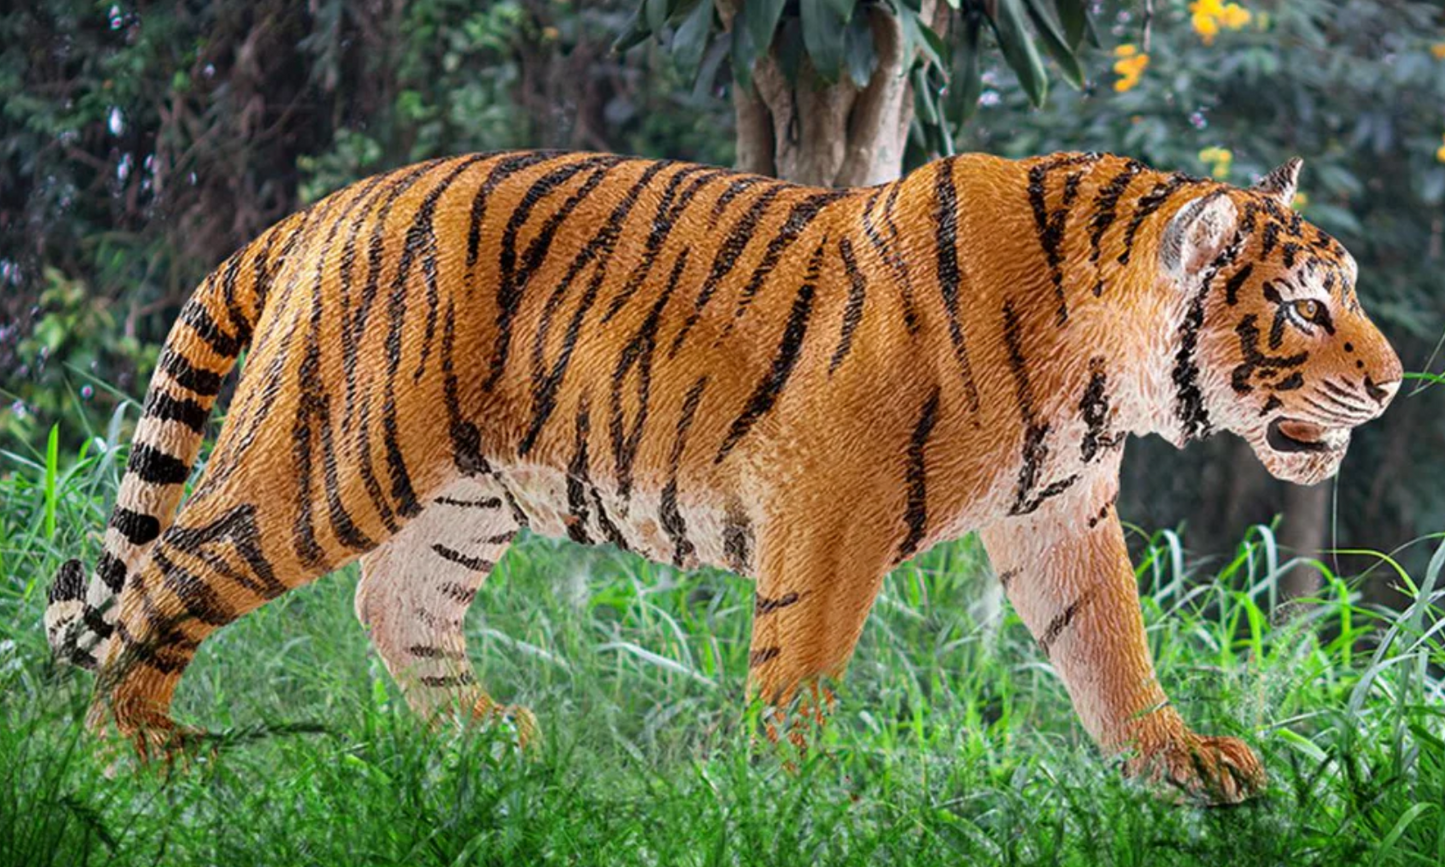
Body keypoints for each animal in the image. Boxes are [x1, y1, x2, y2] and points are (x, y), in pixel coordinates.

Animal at [44, 149, 1400, 804]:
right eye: (1302, 306)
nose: (1392, 386)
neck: (1102, 369)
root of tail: (324, 207)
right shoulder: (829, 505)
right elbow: (798, 664)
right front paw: (791, 801)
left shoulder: (1060, 514)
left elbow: (1108, 648)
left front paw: (1177, 767)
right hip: (334, 459)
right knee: (171, 569)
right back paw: (137, 757)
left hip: (463, 494)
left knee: (396, 602)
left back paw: (492, 745)